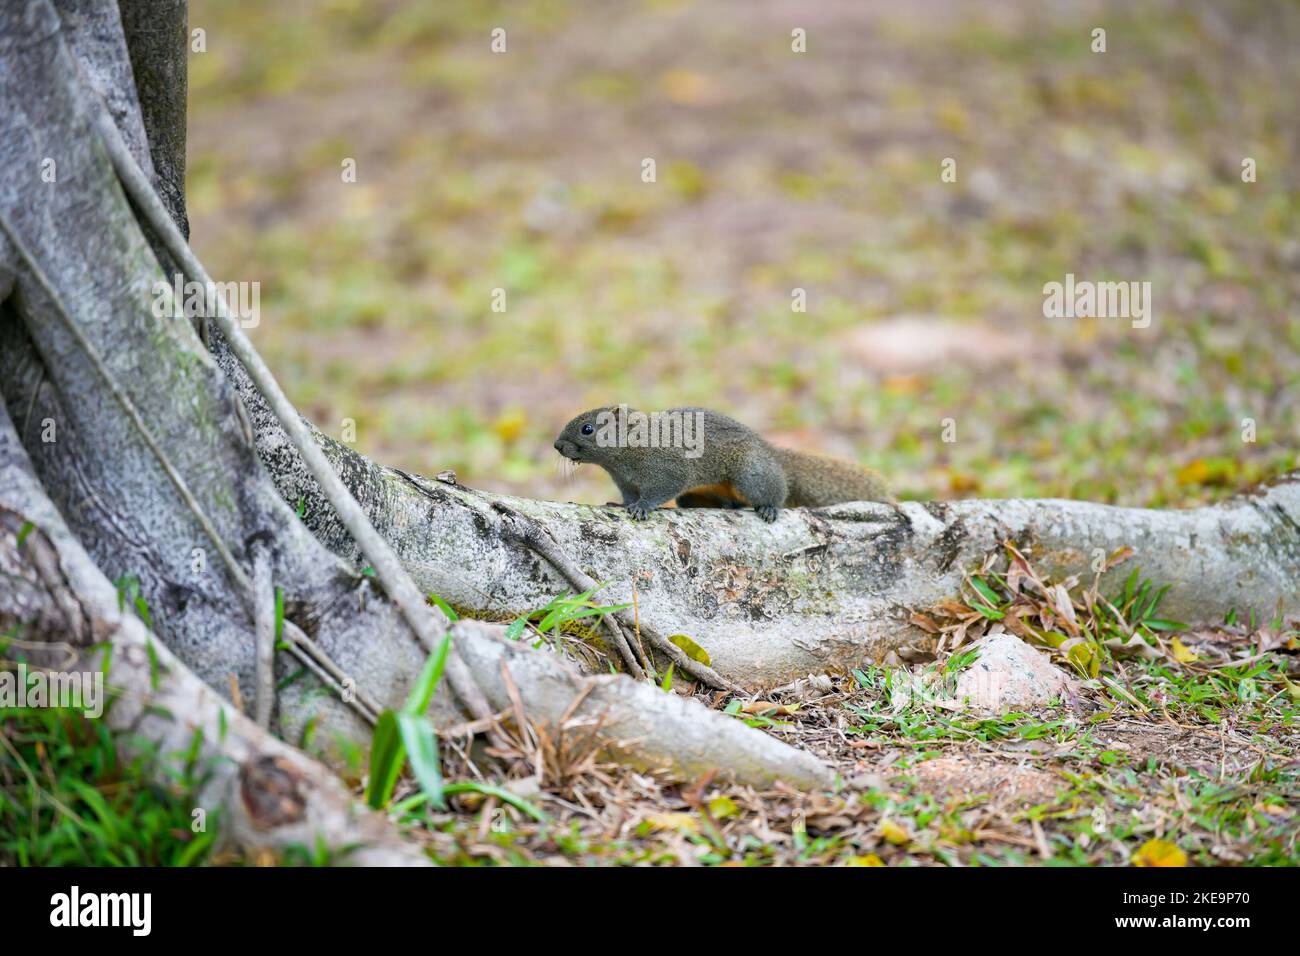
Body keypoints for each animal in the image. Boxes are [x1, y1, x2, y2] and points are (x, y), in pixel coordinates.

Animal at [553, 405, 893, 522]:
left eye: (587, 429)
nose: (556, 445)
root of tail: (770, 452)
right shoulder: (624, 480)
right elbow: (626, 495)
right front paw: (620, 505)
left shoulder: (668, 469)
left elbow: (658, 491)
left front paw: (642, 508)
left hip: (751, 475)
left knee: (776, 491)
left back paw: (768, 508)